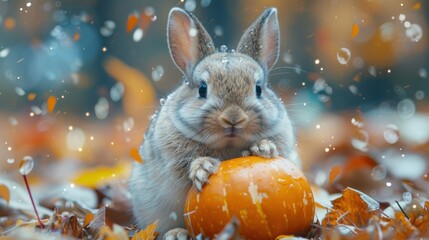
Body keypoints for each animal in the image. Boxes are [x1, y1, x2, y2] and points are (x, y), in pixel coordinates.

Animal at [129, 6, 300, 239]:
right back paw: (176, 233)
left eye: (258, 89)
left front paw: (263, 148)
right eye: (202, 89)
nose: (234, 118)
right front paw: (204, 167)